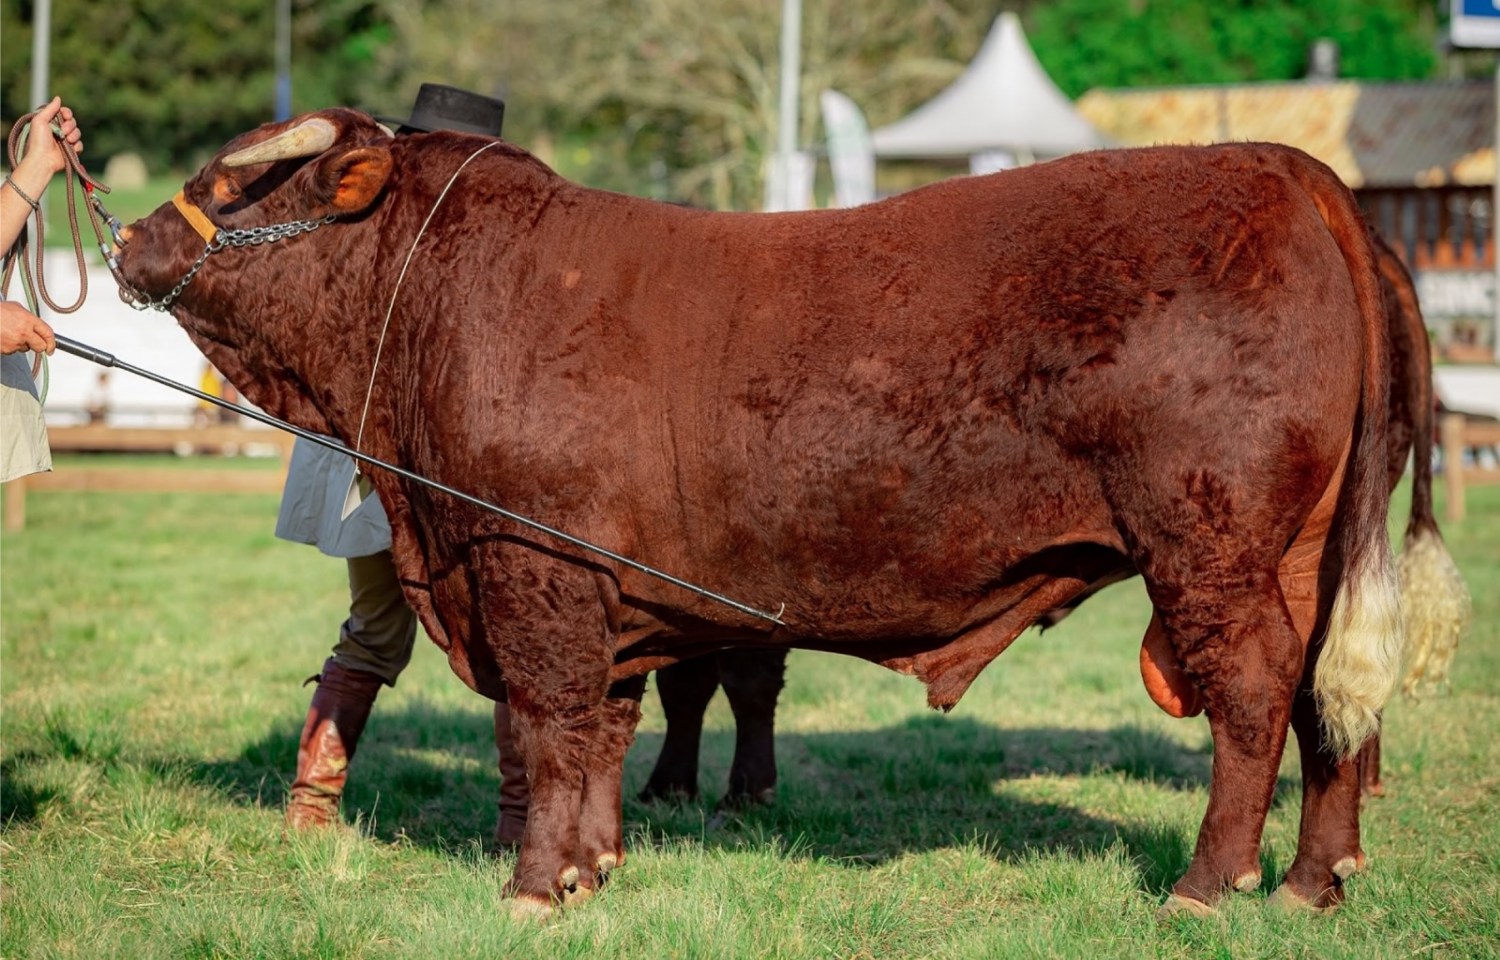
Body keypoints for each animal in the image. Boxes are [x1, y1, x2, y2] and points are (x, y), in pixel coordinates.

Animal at [117, 112, 1404, 912]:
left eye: (234, 179)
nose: (129, 238)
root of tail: (1281, 168)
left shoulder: (534, 570)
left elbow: (549, 721)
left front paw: (533, 887)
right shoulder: (608, 591)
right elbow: (603, 729)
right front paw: (590, 868)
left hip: (1207, 544)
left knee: (1255, 694)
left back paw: (1209, 885)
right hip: (1304, 552)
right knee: (1331, 694)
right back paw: (1315, 879)